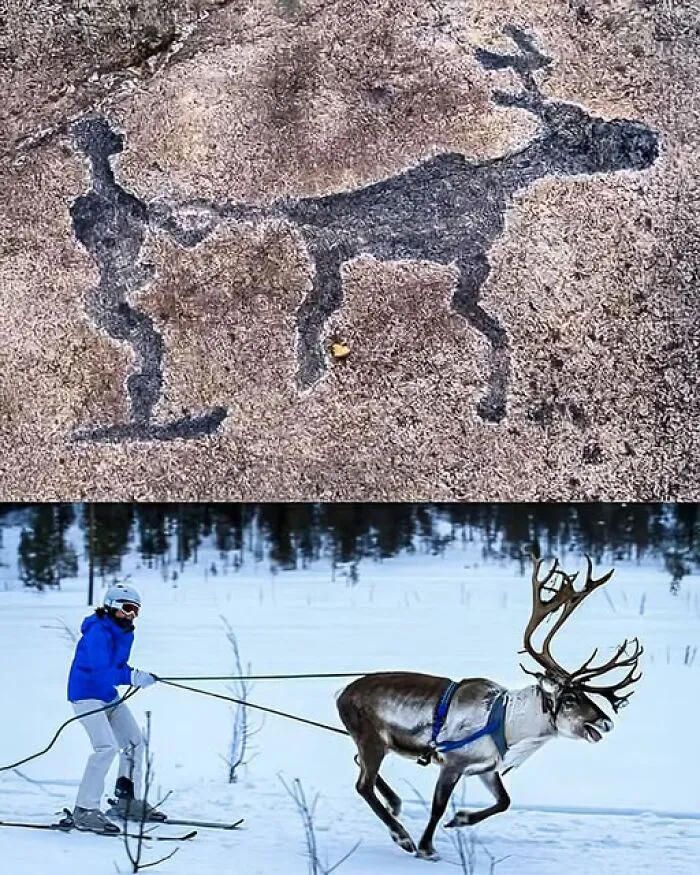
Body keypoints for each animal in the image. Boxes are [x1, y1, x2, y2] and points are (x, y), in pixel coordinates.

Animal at [68, 26, 659, 441]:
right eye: (576, 131)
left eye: (584, 116)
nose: (645, 140)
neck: (502, 179)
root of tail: (302, 205)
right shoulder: (470, 260)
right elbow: (492, 330)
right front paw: (492, 402)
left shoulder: (466, 263)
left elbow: (488, 328)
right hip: (331, 251)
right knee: (309, 312)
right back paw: (303, 374)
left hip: (330, 255)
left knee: (311, 312)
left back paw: (304, 372)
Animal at [336, 554, 643, 861]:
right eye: (570, 699)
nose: (606, 722)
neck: (508, 723)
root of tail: (341, 693)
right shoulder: (453, 763)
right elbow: (438, 807)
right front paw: (426, 848)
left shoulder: (487, 768)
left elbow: (504, 801)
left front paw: (460, 819)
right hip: (372, 739)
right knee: (363, 785)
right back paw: (402, 836)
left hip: (378, 744)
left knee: (359, 765)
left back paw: (395, 804)